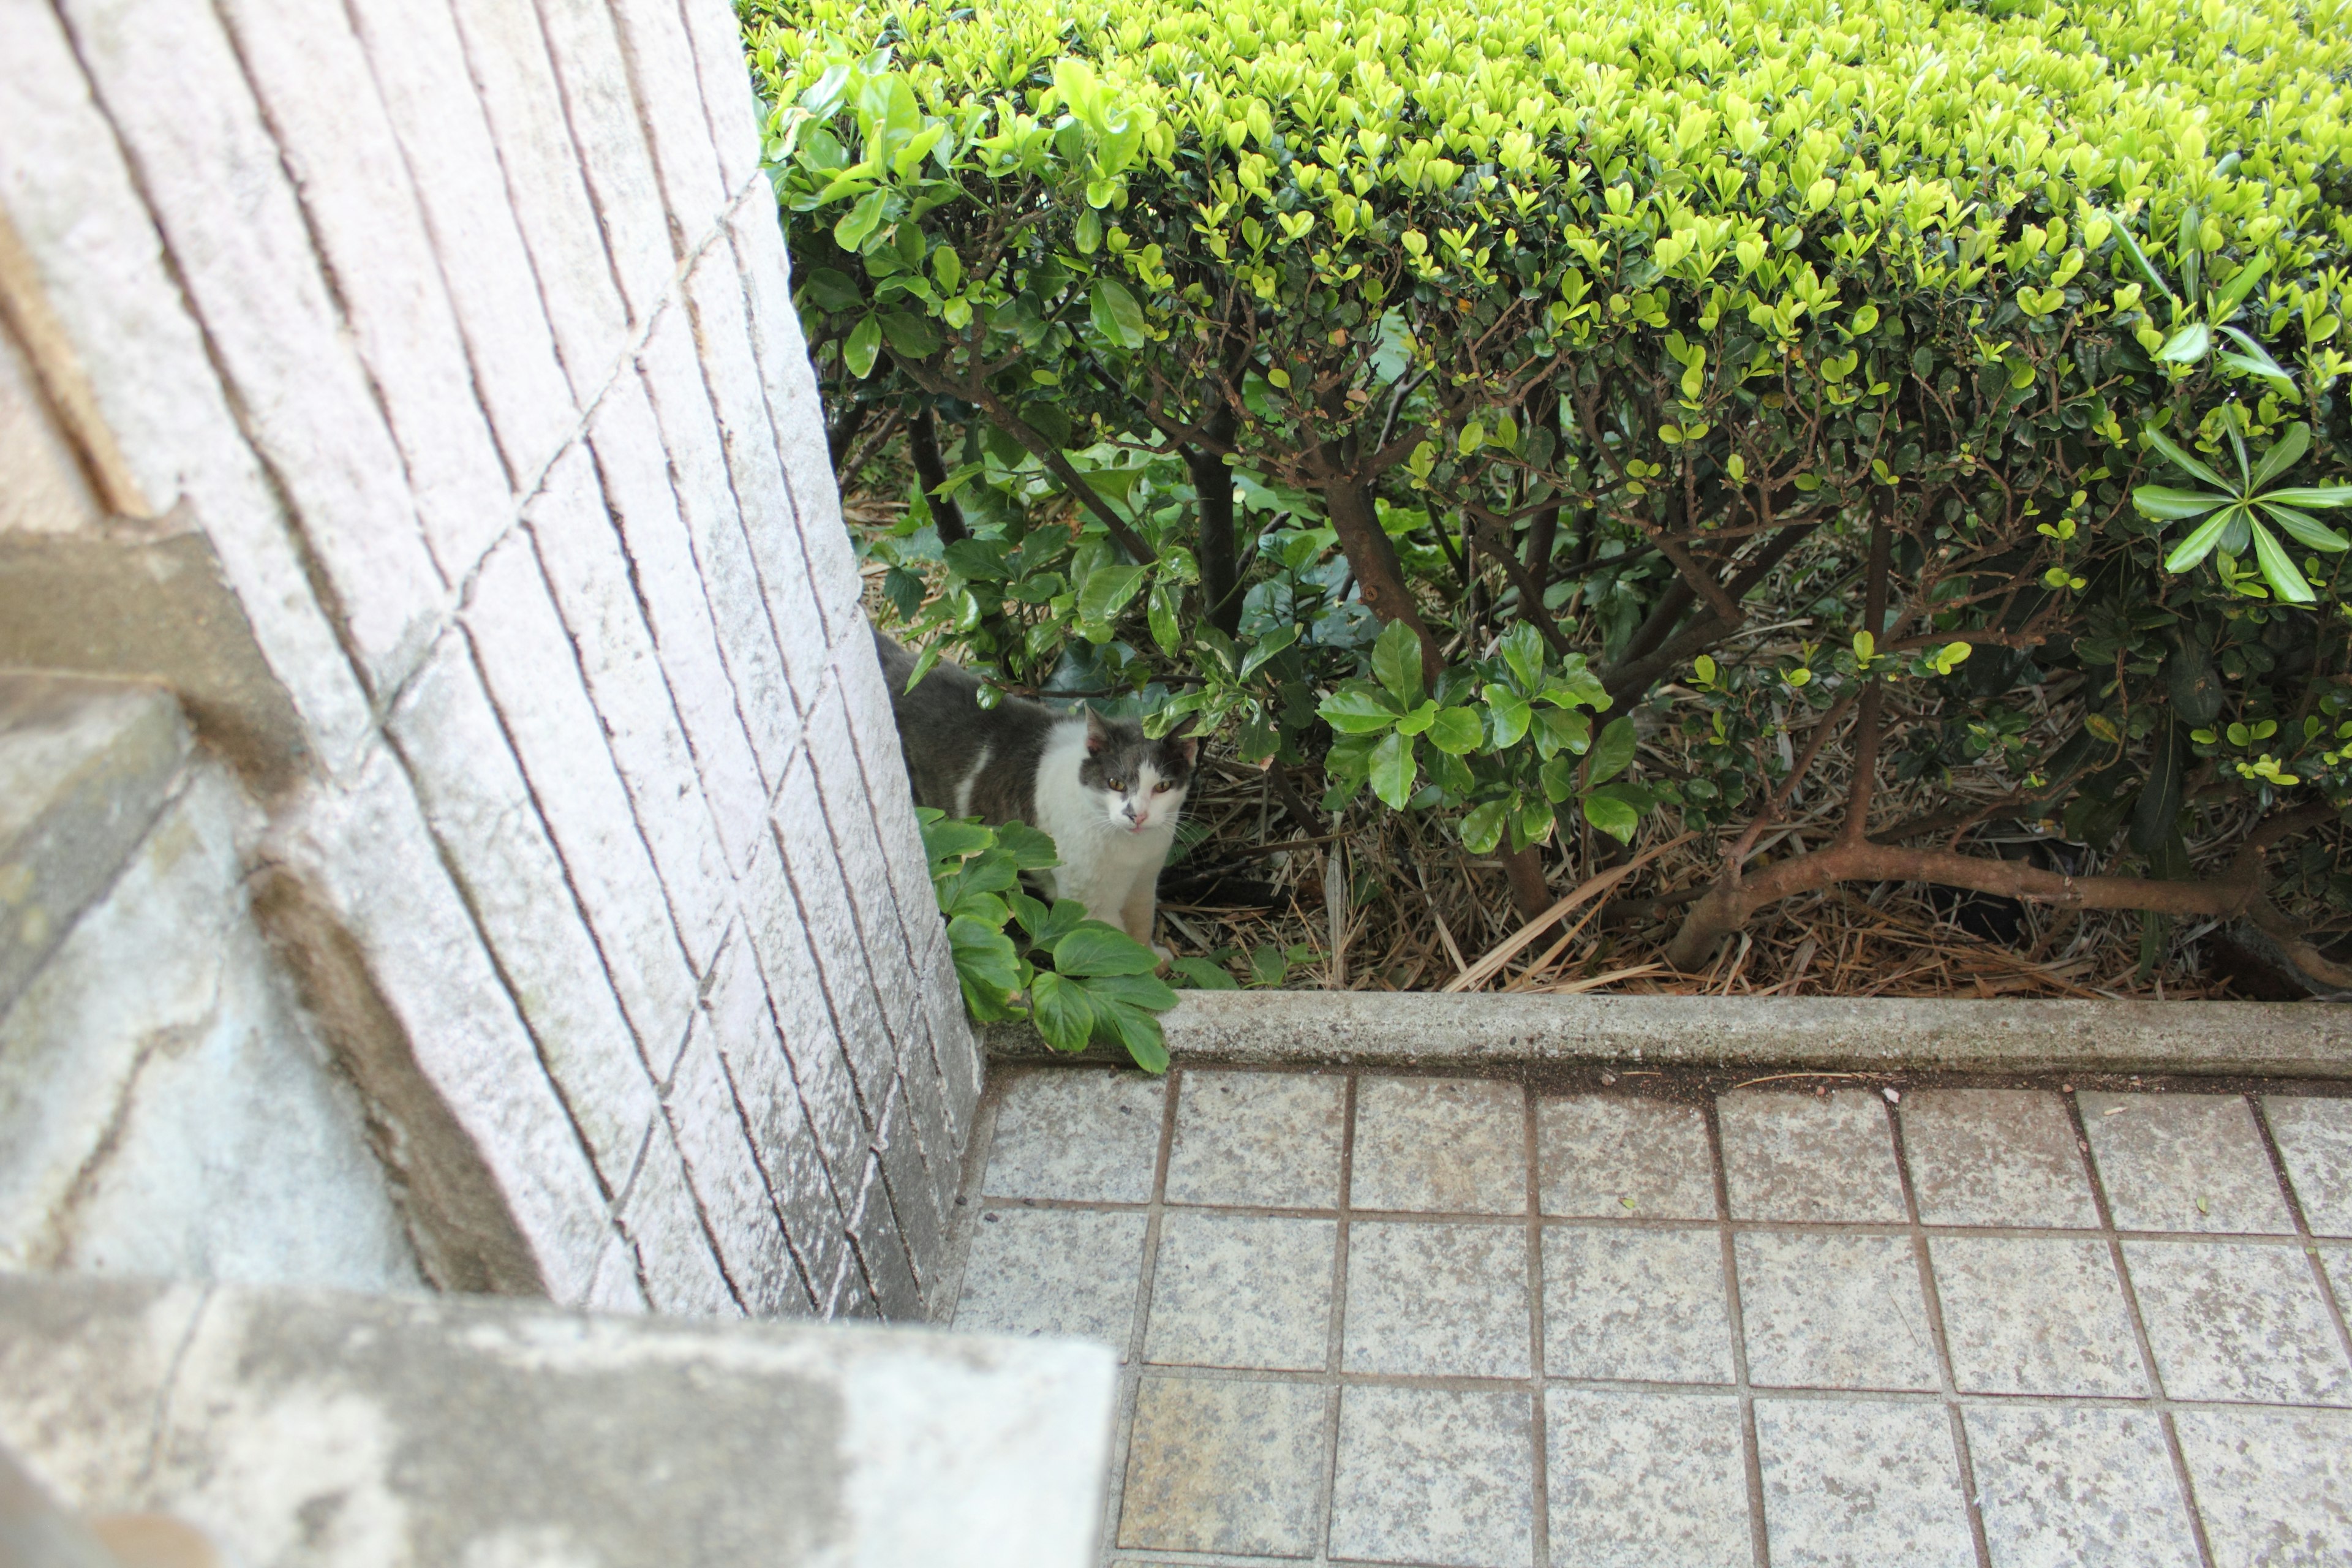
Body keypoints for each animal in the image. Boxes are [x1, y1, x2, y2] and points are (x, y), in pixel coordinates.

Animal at [875, 630, 1194, 949]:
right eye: (1116, 783)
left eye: (1163, 786)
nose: (1137, 815)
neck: (1132, 852)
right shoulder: (1090, 903)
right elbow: (1119, 949)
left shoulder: (1145, 882)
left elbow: (1141, 925)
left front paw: (1157, 956)